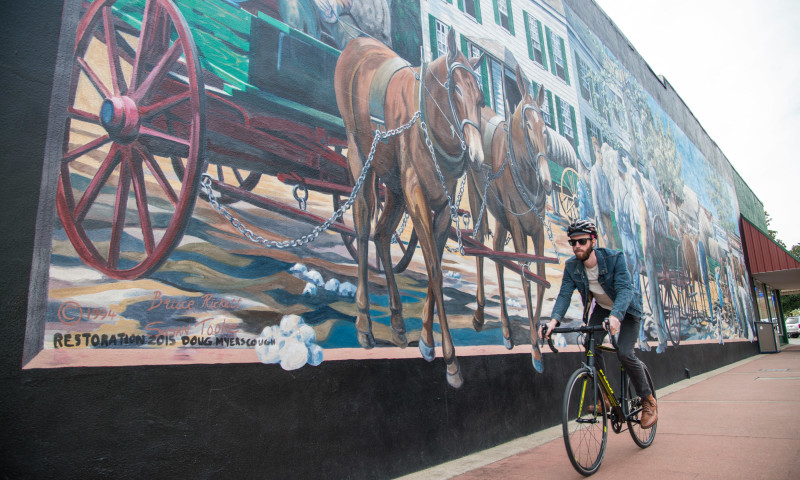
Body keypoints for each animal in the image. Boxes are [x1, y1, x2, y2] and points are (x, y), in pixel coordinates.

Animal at [334, 28, 484, 388]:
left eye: (482, 97)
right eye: (455, 89)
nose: (476, 155)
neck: (430, 120)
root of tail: (356, 44)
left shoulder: (441, 206)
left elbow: (434, 268)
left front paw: (426, 341)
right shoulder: (417, 196)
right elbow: (435, 272)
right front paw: (451, 361)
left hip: (395, 189)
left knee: (381, 234)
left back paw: (398, 324)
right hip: (362, 159)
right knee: (363, 226)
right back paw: (364, 323)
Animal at [468, 68, 552, 372]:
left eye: (545, 128)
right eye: (526, 124)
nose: (547, 182)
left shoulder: (536, 229)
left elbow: (540, 277)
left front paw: (538, 335)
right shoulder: (517, 225)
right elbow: (526, 277)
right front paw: (536, 349)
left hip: (501, 215)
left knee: (498, 256)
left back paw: (505, 330)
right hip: (478, 196)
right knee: (480, 245)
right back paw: (480, 315)